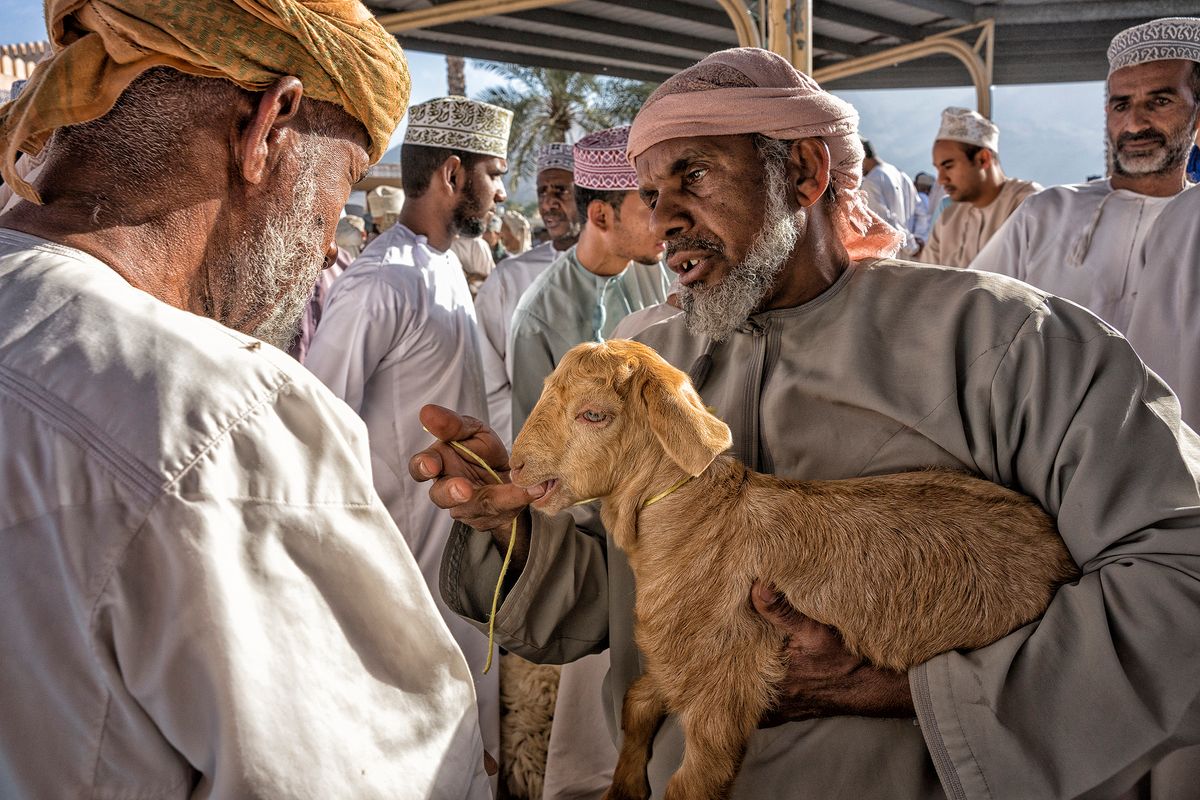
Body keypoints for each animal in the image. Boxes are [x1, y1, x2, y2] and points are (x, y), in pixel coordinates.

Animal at [506, 340, 1080, 800]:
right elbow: (637, 703)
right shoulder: (676, 667)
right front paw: (622, 786)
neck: (698, 520)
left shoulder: (723, 695)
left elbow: (689, 783)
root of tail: (1058, 549)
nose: (514, 466)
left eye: (594, 415)